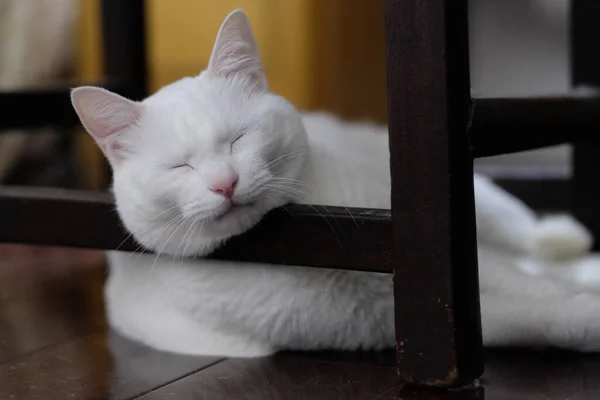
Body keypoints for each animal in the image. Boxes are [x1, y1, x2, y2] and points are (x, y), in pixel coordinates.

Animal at [70, 10, 600, 358]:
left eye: (238, 139)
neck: (302, 252)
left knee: (529, 245)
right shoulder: (390, 320)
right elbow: (534, 317)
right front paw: (585, 314)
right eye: (179, 167)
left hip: (486, 214)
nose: (225, 183)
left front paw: (580, 296)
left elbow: (532, 287)